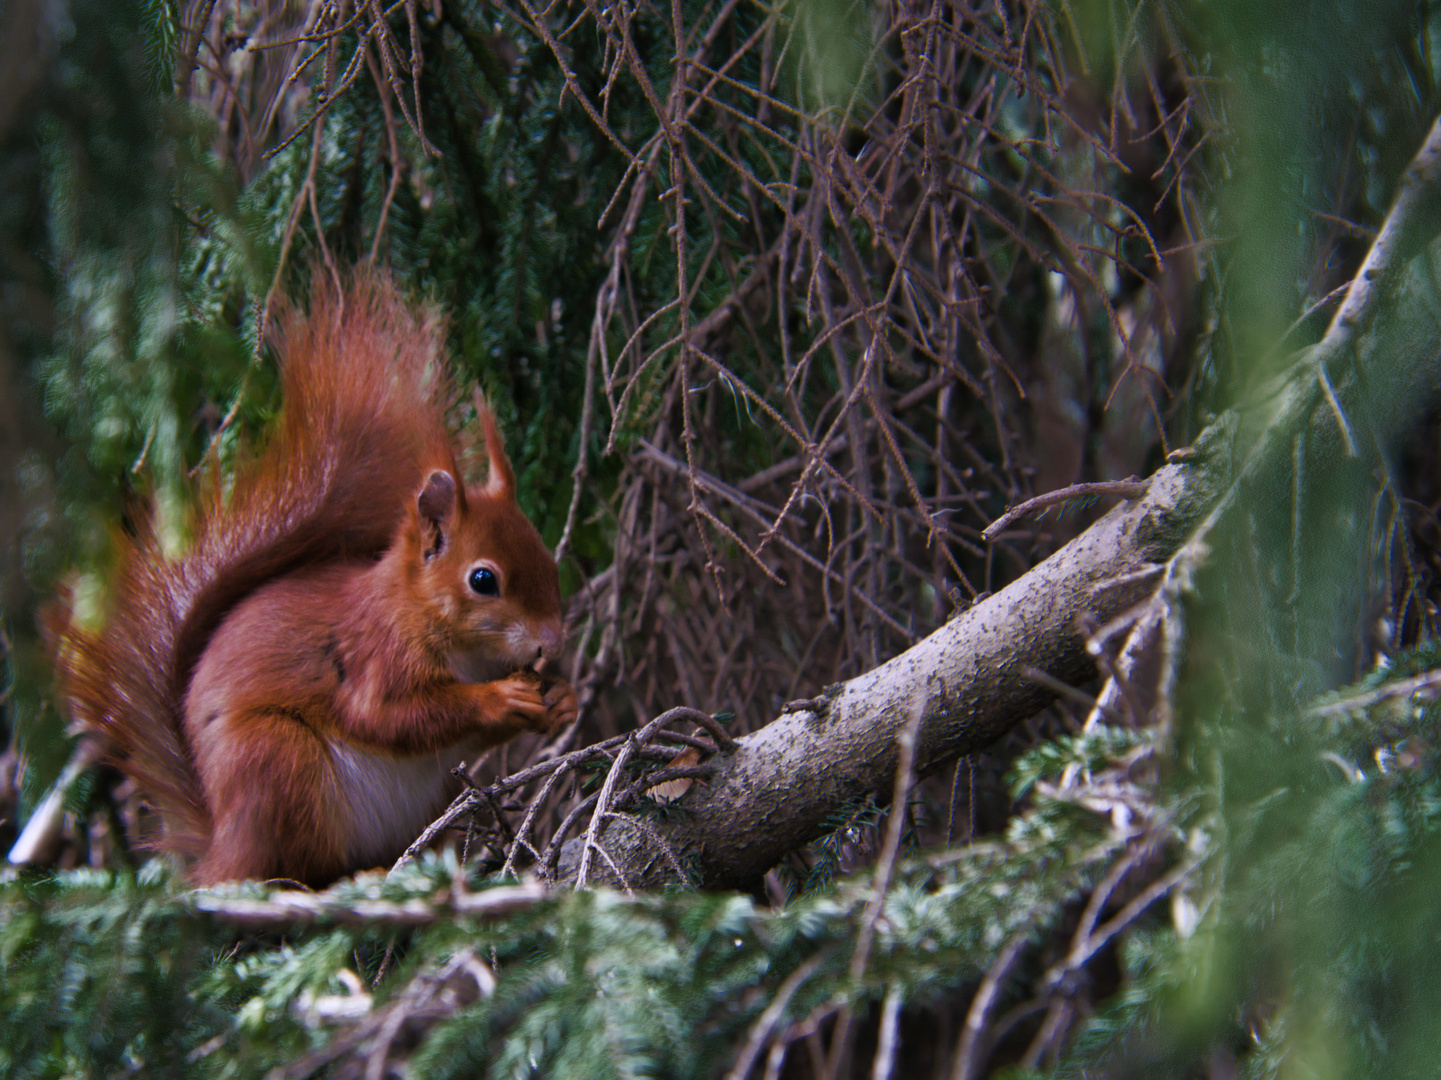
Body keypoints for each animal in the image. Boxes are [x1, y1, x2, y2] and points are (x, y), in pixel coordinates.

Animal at [50, 271, 579, 882]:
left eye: (547, 558)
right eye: (484, 580)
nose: (552, 642)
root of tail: (218, 843)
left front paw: (562, 698)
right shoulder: (374, 652)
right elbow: (391, 716)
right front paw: (499, 698)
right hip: (278, 758)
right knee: (290, 865)